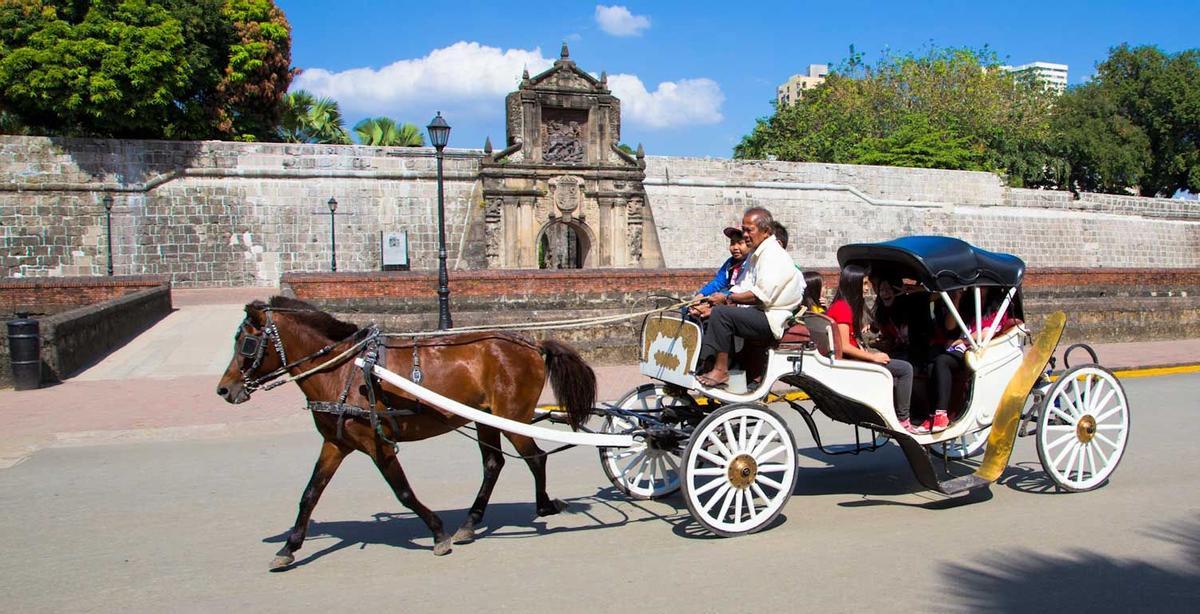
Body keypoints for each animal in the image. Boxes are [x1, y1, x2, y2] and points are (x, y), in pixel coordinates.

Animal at [214, 295, 595, 568]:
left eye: (245, 342)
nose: (224, 389)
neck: (346, 371)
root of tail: (532, 345)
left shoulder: (376, 443)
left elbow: (403, 492)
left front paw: (437, 532)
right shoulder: (336, 442)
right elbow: (310, 493)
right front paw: (289, 546)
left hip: (510, 417)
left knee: (535, 457)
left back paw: (543, 506)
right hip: (487, 419)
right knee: (494, 464)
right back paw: (471, 522)